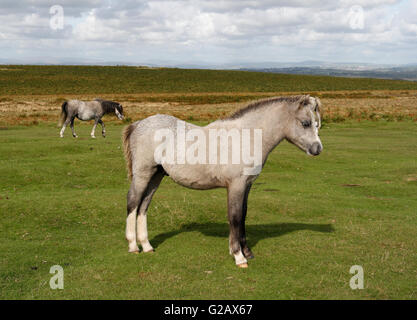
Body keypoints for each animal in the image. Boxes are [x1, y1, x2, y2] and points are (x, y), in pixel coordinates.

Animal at [122, 95, 324, 268]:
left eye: (317, 124)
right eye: (305, 123)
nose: (317, 149)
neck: (246, 136)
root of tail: (139, 124)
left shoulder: (247, 185)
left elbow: (243, 215)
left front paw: (247, 251)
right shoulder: (236, 185)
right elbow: (234, 217)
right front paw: (239, 256)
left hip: (156, 176)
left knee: (143, 205)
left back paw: (147, 246)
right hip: (143, 174)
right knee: (133, 202)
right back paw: (133, 246)